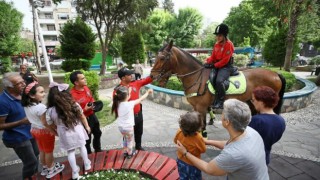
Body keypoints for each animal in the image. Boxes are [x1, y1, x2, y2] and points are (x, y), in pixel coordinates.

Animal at [151, 40, 286, 136]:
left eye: (162, 58)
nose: (152, 75)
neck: (196, 76)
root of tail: (276, 74)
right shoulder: (196, 107)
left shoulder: (201, 108)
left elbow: (203, 128)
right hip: (251, 101)